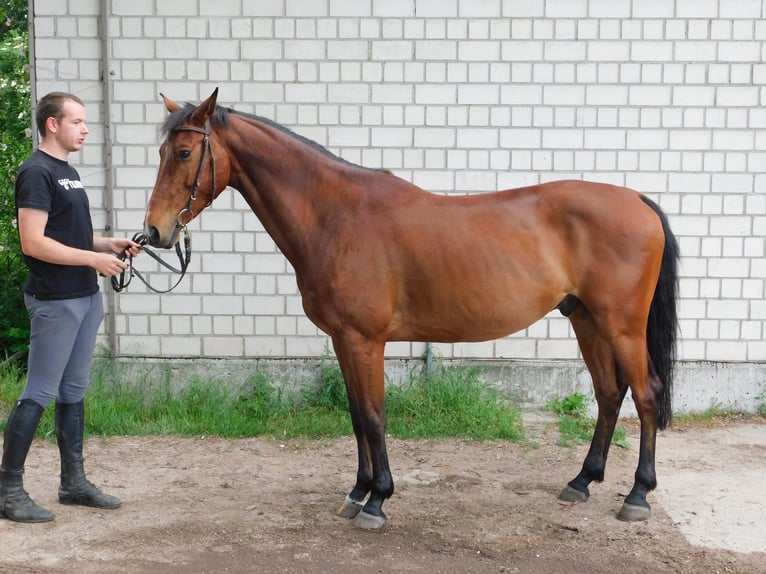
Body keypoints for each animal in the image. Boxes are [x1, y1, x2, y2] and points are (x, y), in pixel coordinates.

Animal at [142, 89, 680, 532]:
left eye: (185, 153)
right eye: (162, 152)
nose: (153, 232)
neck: (337, 216)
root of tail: (637, 200)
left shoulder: (365, 340)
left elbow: (375, 416)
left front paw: (378, 501)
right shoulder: (344, 339)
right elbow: (357, 415)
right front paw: (357, 492)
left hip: (621, 326)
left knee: (645, 395)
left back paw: (637, 495)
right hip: (586, 319)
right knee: (609, 394)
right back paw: (582, 482)